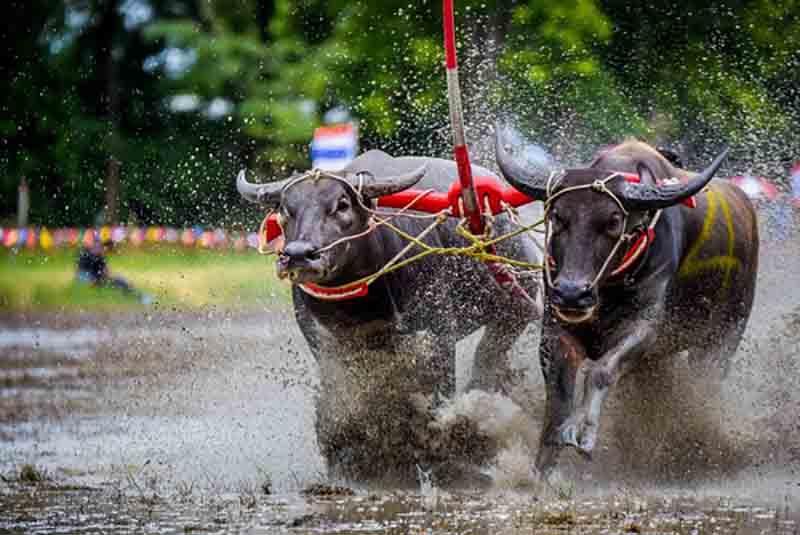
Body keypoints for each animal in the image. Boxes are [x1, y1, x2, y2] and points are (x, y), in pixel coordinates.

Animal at [234, 150, 540, 486]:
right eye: (286, 209)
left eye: (342, 204)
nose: (299, 255)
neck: (363, 302)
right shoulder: (326, 343)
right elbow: (340, 402)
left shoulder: (438, 334)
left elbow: (437, 397)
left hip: (517, 306)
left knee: (488, 357)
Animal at [496, 138, 760, 478]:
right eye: (557, 216)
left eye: (612, 221)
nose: (571, 293)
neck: (608, 289)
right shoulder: (556, 327)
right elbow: (558, 397)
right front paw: (543, 469)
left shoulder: (644, 328)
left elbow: (600, 371)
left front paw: (584, 432)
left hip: (725, 334)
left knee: (706, 379)